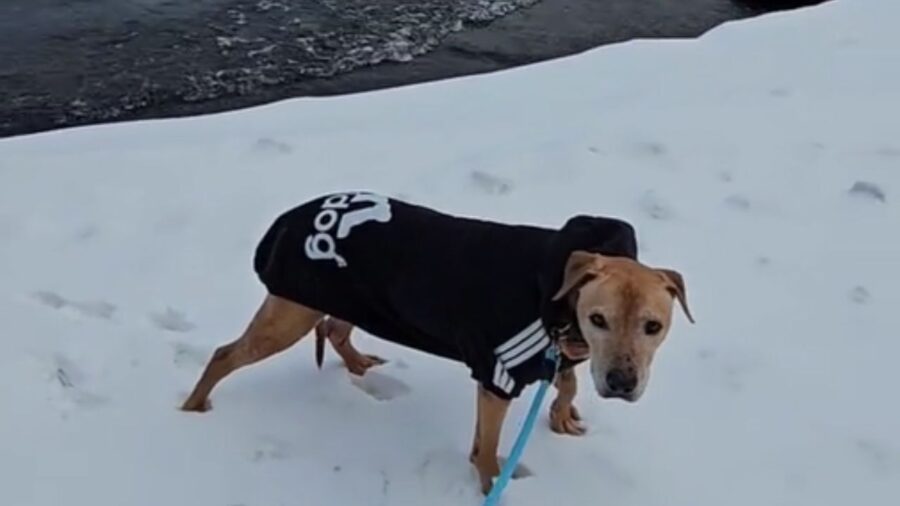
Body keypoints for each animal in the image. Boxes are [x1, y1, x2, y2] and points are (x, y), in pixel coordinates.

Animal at [179, 191, 692, 494]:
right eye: (598, 318)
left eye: (653, 327)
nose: (622, 381)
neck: (560, 296)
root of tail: (289, 218)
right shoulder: (498, 373)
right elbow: (487, 444)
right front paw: (491, 484)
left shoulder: (558, 351)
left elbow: (566, 380)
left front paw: (562, 411)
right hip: (291, 311)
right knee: (226, 354)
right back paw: (193, 408)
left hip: (357, 299)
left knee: (335, 329)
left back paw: (357, 362)